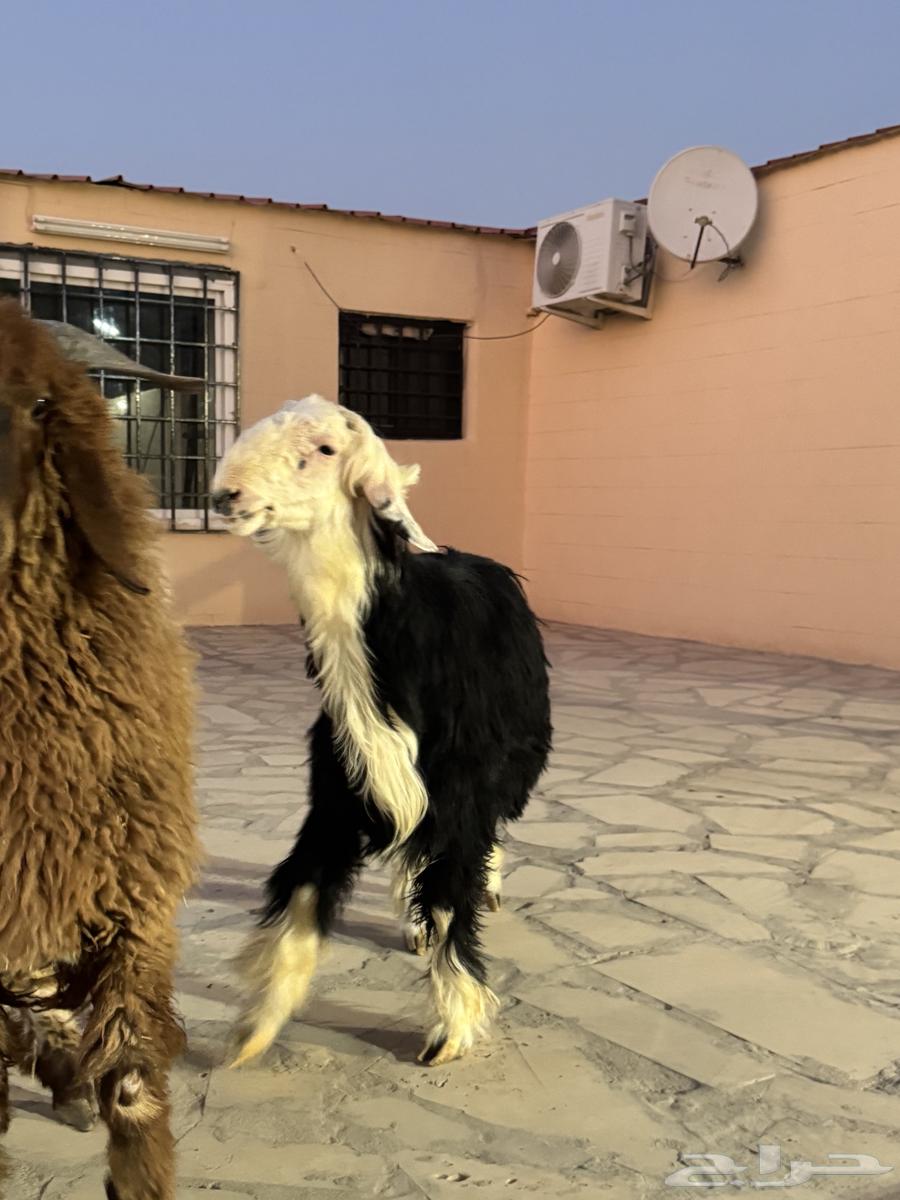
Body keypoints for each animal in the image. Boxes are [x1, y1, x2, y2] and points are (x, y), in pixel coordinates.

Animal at [212, 395, 551, 1068]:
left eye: (324, 449)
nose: (226, 494)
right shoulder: (342, 791)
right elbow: (304, 889)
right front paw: (255, 1027)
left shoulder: (462, 791)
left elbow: (450, 892)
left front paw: (450, 1030)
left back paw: (488, 888)